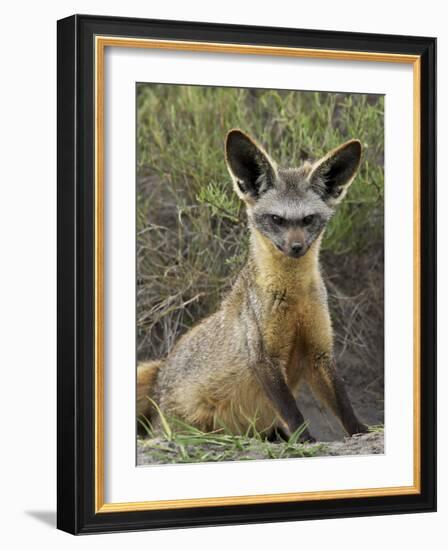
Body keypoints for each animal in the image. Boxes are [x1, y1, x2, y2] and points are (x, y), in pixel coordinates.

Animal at [136, 129, 368, 444]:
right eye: (276, 219)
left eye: (308, 219)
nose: (296, 247)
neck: (293, 299)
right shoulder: (262, 356)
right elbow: (292, 411)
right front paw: (305, 441)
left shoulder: (319, 352)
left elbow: (343, 405)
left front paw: (361, 432)